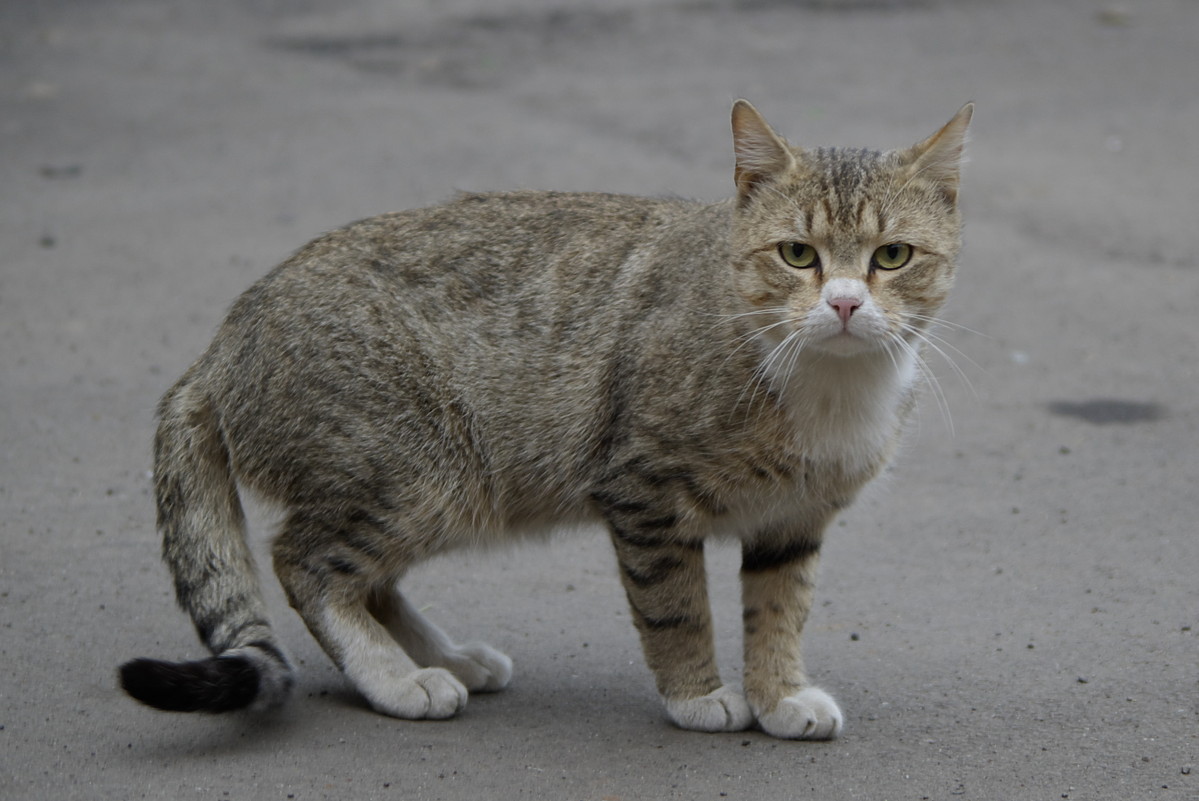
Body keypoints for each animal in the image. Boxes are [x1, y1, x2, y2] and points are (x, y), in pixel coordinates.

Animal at [119, 98, 973, 738]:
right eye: (797, 254)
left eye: (891, 256)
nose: (844, 303)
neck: (827, 385)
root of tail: (224, 339)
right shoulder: (641, 488)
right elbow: (675, 608)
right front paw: (697, 694)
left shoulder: (792, 520)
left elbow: (777, 611)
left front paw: (777, 694)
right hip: (414, 470)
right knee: (307, 564)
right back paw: (396, 677)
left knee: (368, 578)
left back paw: (442, 657)